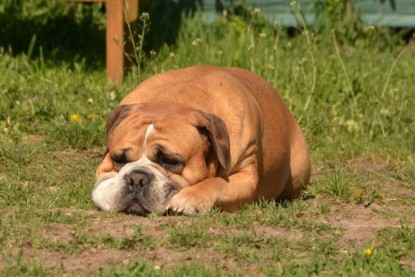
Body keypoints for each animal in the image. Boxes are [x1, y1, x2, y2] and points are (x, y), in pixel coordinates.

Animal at [92, 66, 312, 215]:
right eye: (118, 159)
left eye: (170, 161)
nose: (137, 179)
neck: (178, 100)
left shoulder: (247, 177)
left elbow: (217, 182)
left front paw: (189, 197)